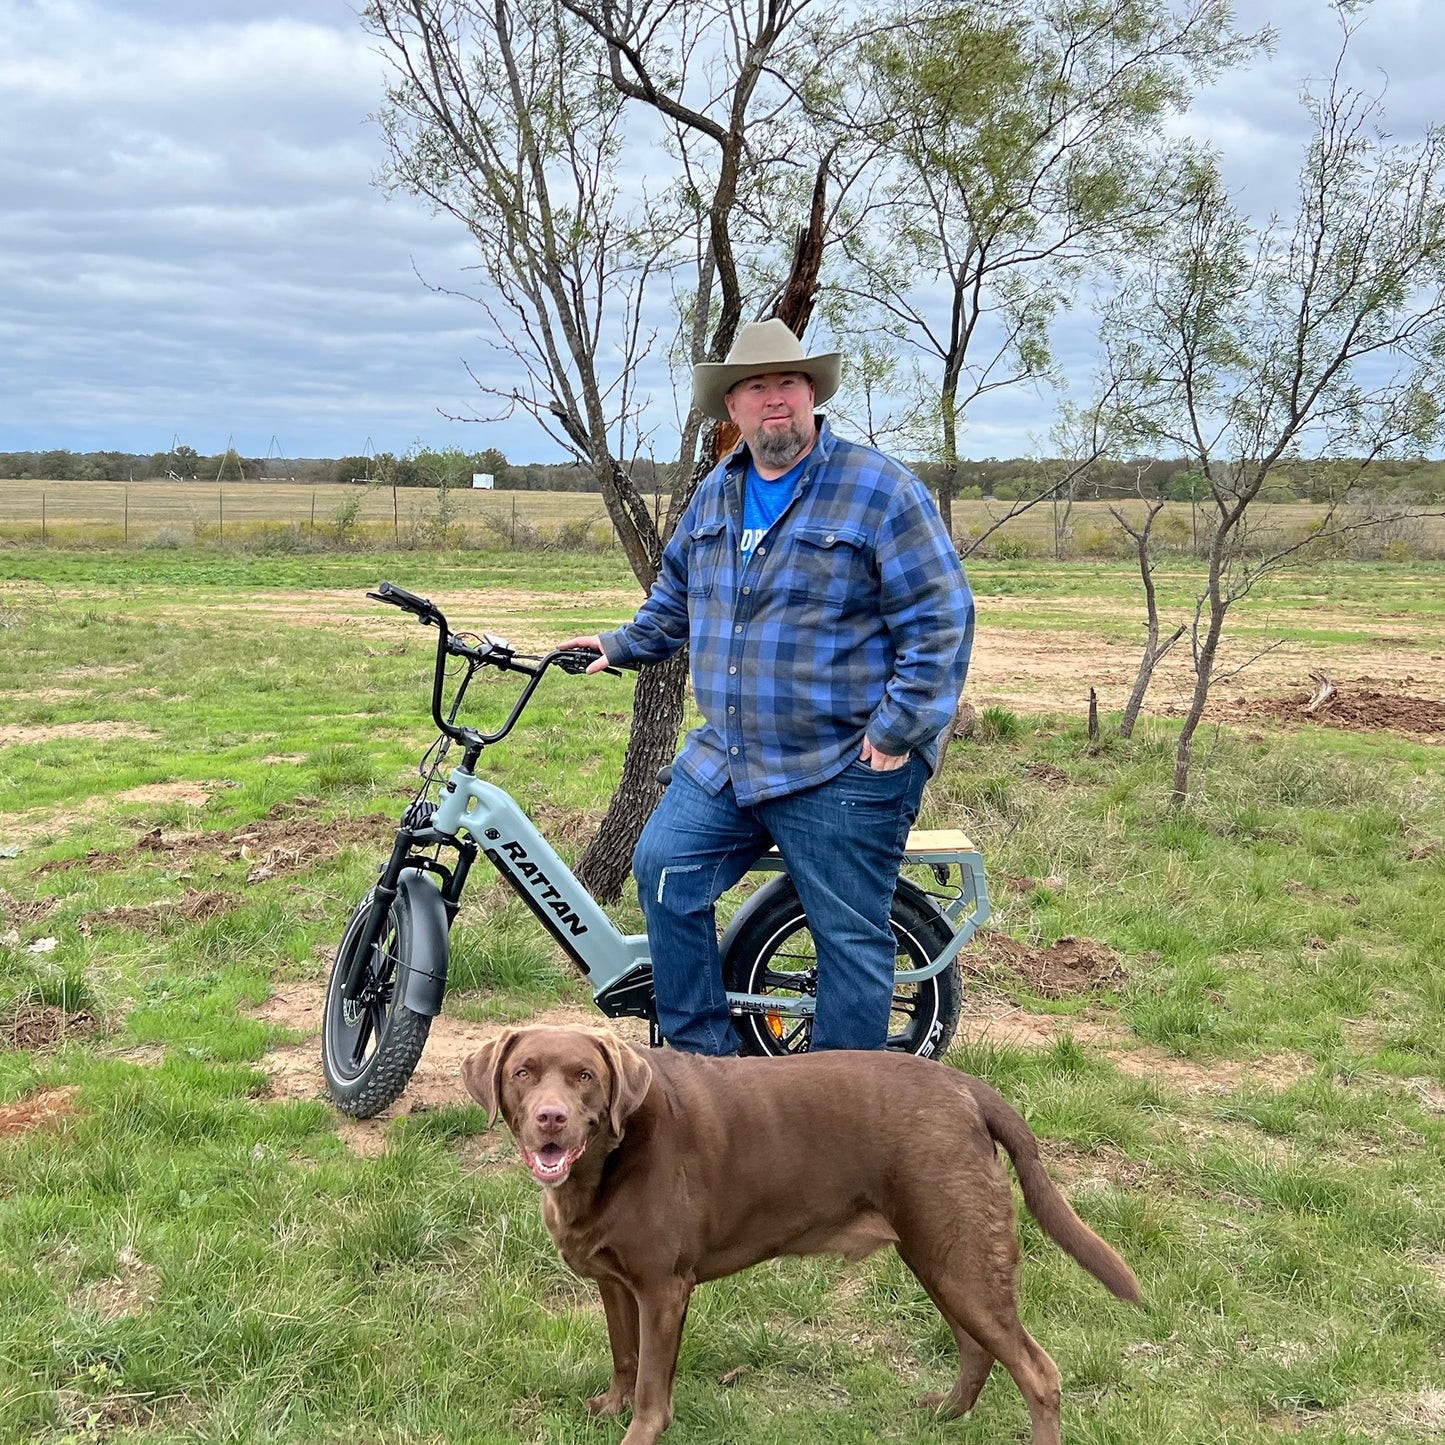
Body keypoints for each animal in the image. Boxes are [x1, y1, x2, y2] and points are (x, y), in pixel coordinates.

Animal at [462, 1028, 1138, 1445]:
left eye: (584, 1076)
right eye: (524, 1072)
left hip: (959, 1255)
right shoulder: (616, 1283)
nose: (551, 1118)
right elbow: (625, 1356)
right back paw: (943, 1415)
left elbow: (654, 1381)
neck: (606, 1162)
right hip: (939, 1256)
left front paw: (638, 1431)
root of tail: (967, 1088)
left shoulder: (663, 1288)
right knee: (978, 1349)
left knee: (1037, 1371)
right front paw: (610, 1409)